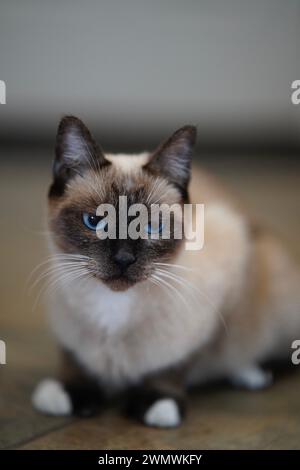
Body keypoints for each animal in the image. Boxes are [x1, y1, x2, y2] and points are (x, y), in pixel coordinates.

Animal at [32, 115, 300, 428]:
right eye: (95, 222)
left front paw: (157, 403)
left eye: (152, 227)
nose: (124, 259)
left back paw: (251, 373)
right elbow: (74, 358)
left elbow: (178, 361)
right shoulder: (66, 326)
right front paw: (70, 394)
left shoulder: (220, 295)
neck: (113, 309)